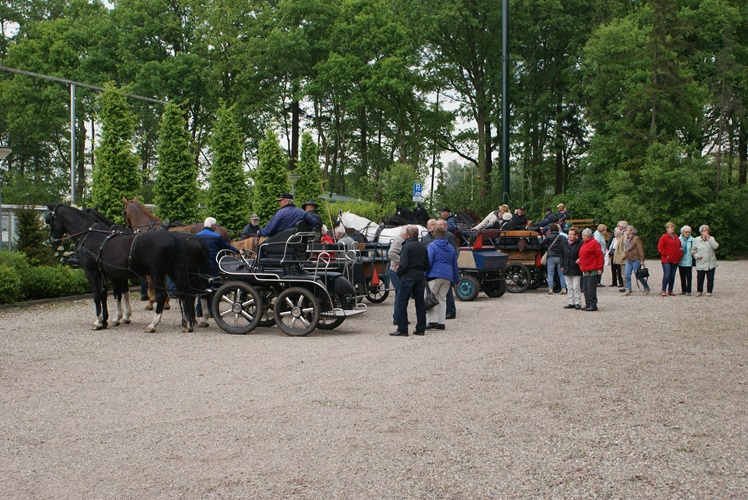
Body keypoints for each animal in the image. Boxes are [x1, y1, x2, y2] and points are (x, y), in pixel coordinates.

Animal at [48, 203, 203, 332]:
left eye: (50, 220)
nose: (51, 240)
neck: (89, 235)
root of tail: (172, 236)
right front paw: (109, 320)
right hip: (174, 272)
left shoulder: (92, 272)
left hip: (157, 273)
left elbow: (99, 295)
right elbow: (109, 294)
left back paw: (153, 324)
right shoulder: (110, 274)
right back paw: (189, 323)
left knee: (162, 295)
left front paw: (99, 321)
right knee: (187, 292)